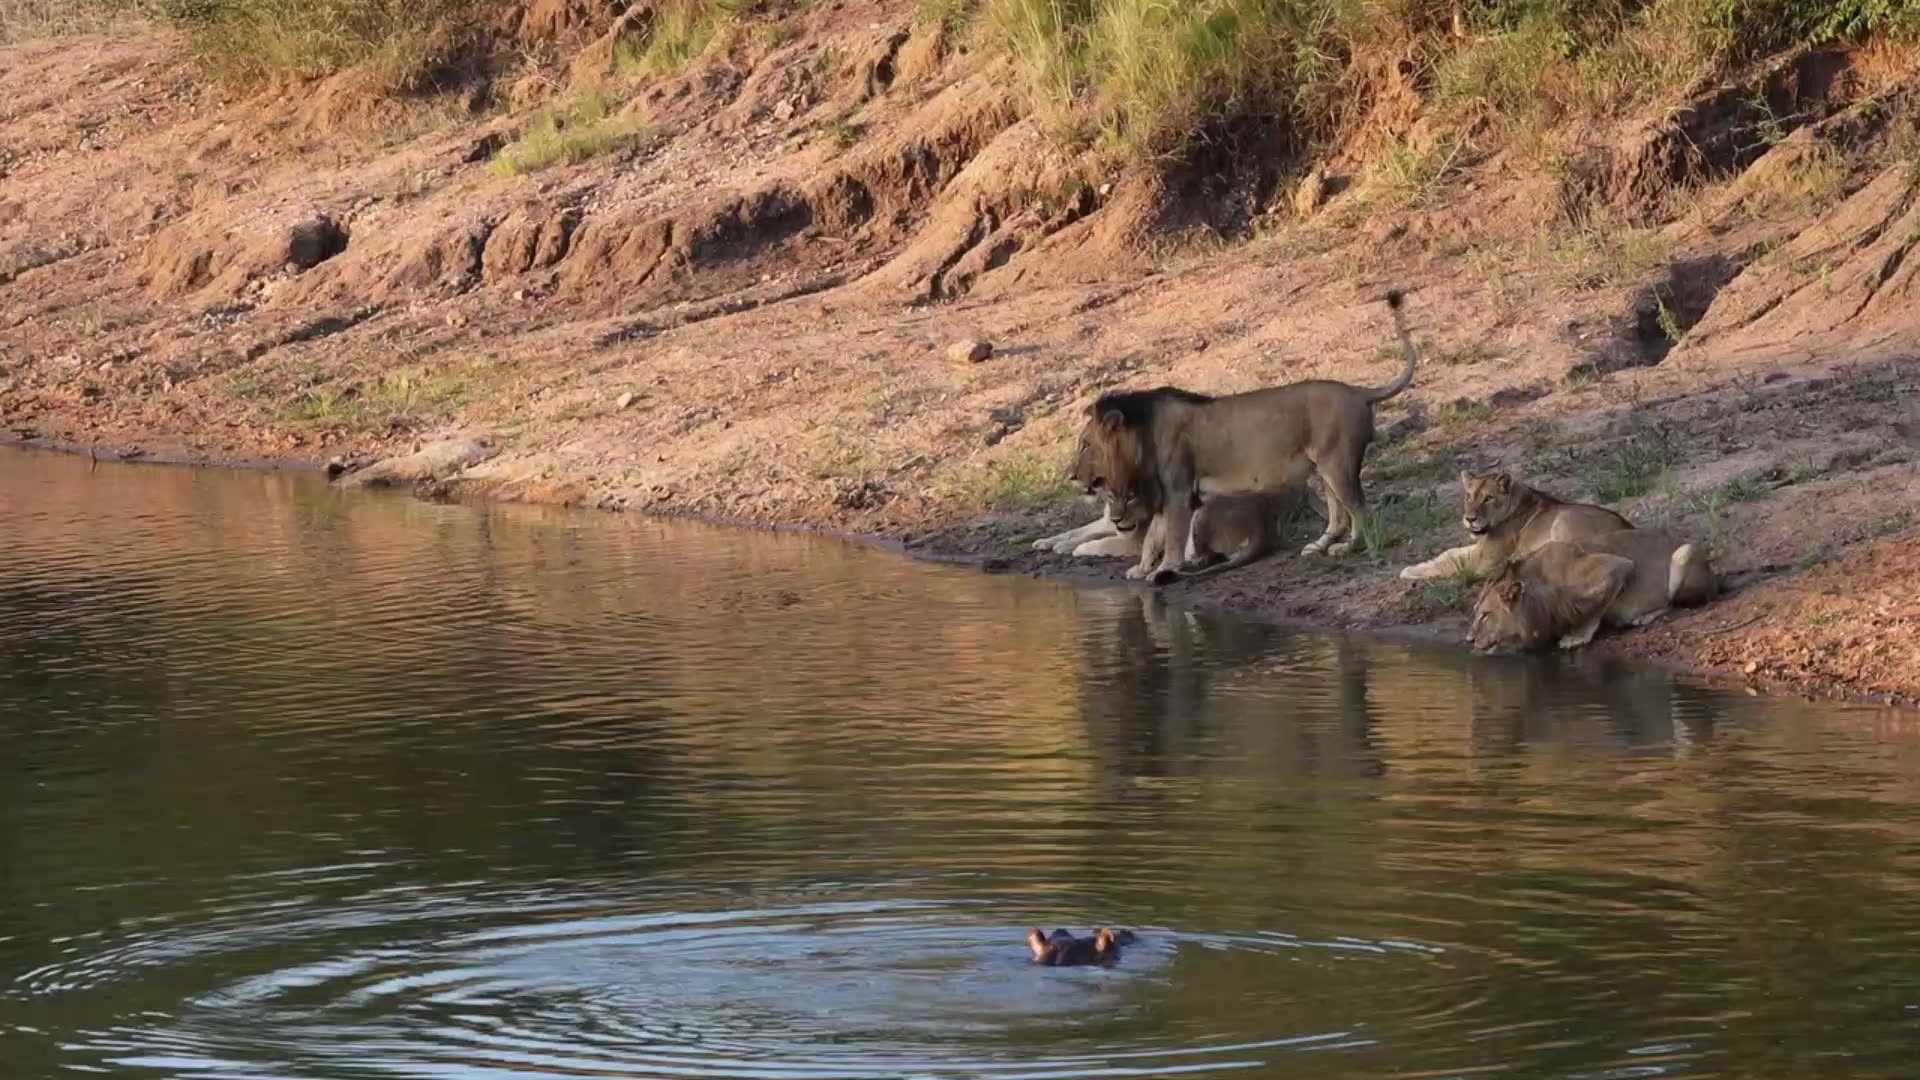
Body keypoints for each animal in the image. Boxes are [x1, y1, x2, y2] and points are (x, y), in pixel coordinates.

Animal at [1071, 291, 1417, 583]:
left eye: (1086, 445)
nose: (1073, 476)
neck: (1142, 437)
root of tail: (1359, 391)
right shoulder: (1166, 494)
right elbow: (1152, 538)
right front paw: (1141, 569)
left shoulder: (1179, 491)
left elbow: (1172, 539)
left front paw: (1164, 570)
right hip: (1322, 468)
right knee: (1340, 515)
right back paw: (1318, 546)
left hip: (1338, 464)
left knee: (1360, 510)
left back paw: (1349, 548)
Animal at [1401, 470, 1632, 581]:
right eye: (1468, 496)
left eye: (1488, 498)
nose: (1470, 519)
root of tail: (1629, 527)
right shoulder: (1480, 549)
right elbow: (1449, 554)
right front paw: (1423, 563)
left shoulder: (1483, 562)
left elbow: (1449, 566)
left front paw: (1410, 571)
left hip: (1564, 520)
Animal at [1469, 530, 1720, 653]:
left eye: (1485, 615)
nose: (1468, 639)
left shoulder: (1616, 567)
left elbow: (1592, 612)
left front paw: (1576, 637)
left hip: (1683, 554)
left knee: (1673, 602)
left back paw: (1642, 617)